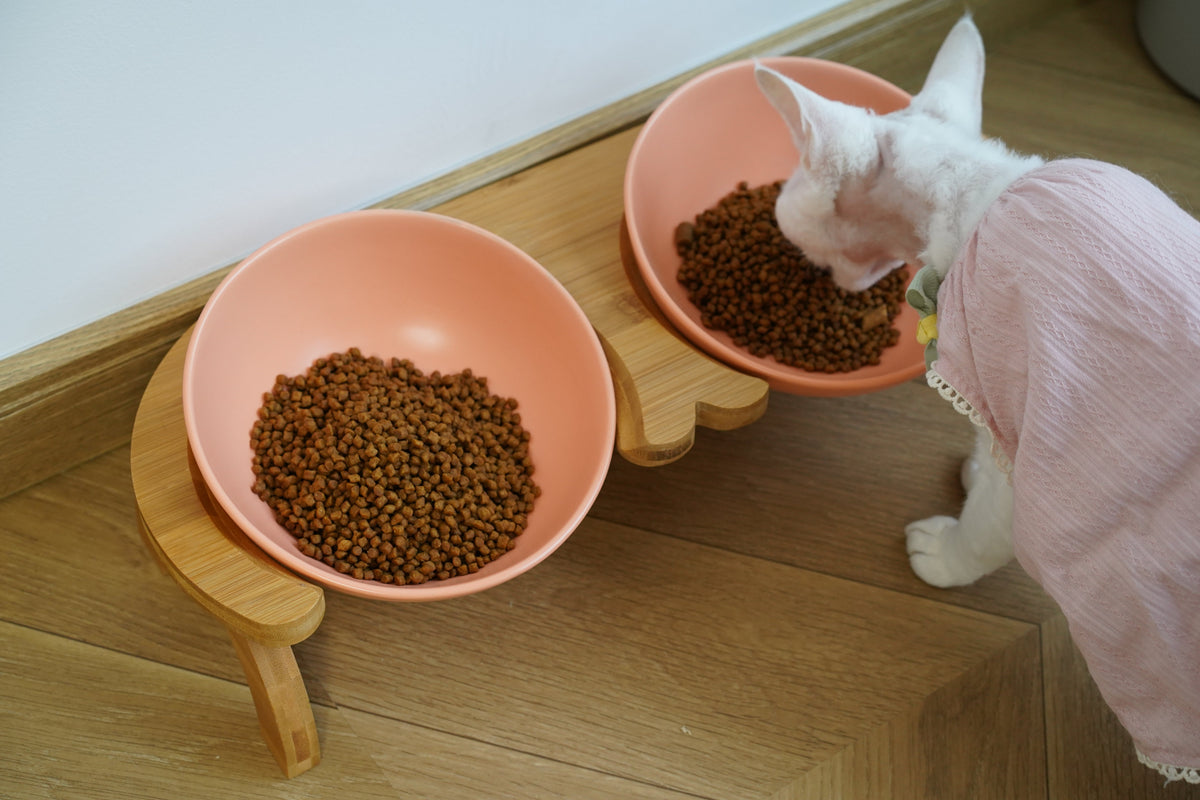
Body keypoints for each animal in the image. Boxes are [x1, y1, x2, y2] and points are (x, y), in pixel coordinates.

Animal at [758, 15, 1200, 786]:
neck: (977, 187)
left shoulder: (1036, 456)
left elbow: (990, 524)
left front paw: (945, 550)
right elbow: (982, 434)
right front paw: (966, 466)